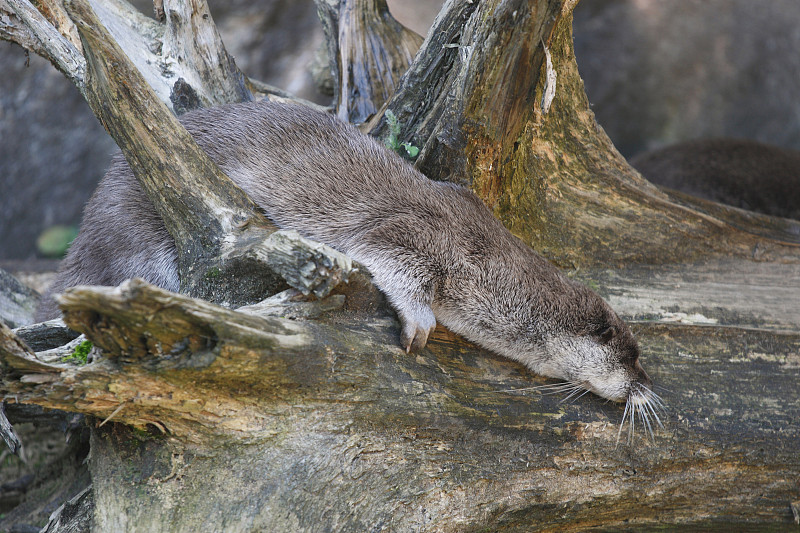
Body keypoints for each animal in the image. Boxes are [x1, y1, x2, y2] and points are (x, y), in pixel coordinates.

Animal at [39, 102, 656, 412]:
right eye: (633, 357)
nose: (648, 388)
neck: (485, 260)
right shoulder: (415, 233)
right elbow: (395, 263)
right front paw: (419, 322)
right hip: (139, 230)